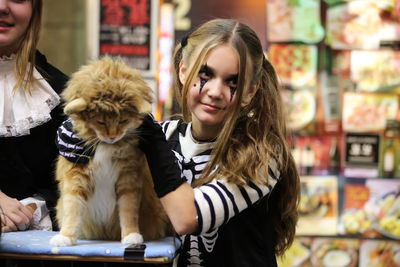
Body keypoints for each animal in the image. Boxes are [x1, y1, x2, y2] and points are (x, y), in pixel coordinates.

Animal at [49, 56, 171, 247]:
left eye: (123, 121)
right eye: (101, 122)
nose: (113, 136)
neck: (106, 146)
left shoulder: (128, 181)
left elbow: (128, 213)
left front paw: (131, 236)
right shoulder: (76, 179)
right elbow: (72, 212)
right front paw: (66, 237)